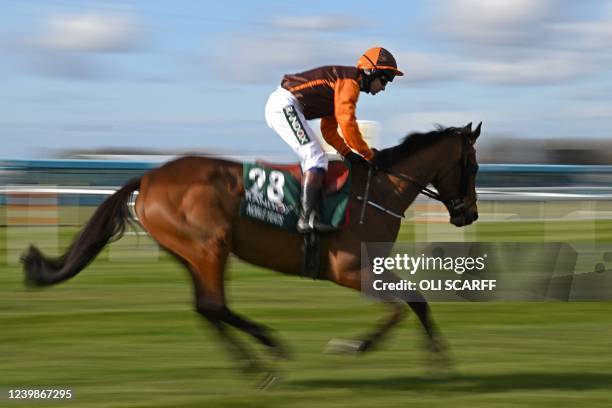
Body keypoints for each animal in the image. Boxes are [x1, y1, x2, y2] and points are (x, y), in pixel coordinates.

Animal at [22, 121, 482, 380]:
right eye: (474, 166)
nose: (469, 214)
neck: (377, 191)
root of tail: (150, 177)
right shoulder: (350, 269)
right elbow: (400, 307)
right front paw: (354, 346)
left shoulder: (373, 264)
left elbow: (416, 301)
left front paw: (439, 360)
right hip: (209, 247)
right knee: (213, 305)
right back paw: (267, 354)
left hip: (190, 253)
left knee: (206, 307)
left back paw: (255, 359)